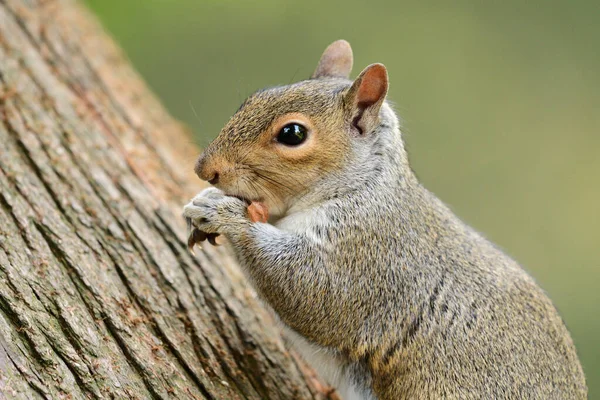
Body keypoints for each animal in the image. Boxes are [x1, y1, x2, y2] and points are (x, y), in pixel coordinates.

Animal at [183, 39, 584, 398]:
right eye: (251, 100)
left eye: (292, 133)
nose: (205, 169)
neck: (364, 186)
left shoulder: (371, 257)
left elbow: (310, 289)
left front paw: (224, 213)